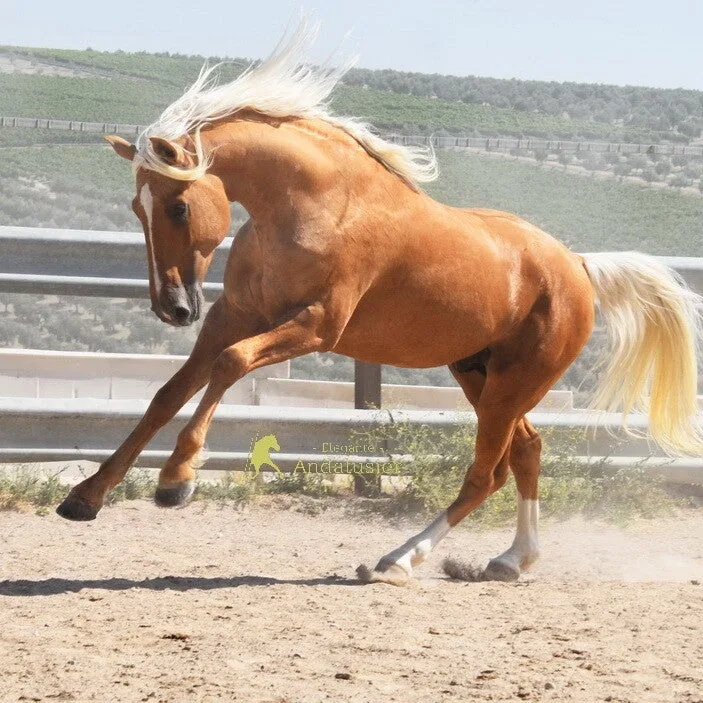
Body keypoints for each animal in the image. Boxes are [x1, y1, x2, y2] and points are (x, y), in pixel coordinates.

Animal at [56, 22, 702, 585]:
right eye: (136, 208)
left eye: (178, 207)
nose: (171, 308)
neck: (311, 204)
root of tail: (578, 267)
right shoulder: (232, 315)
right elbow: (168, 393)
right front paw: (85, 497)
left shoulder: (315, 327)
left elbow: (230, 364)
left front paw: (177, 479)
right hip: (480, 374)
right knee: (526, 452)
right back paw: (509, 561)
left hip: (515, 382)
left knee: (484, 474)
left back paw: (398, 560)